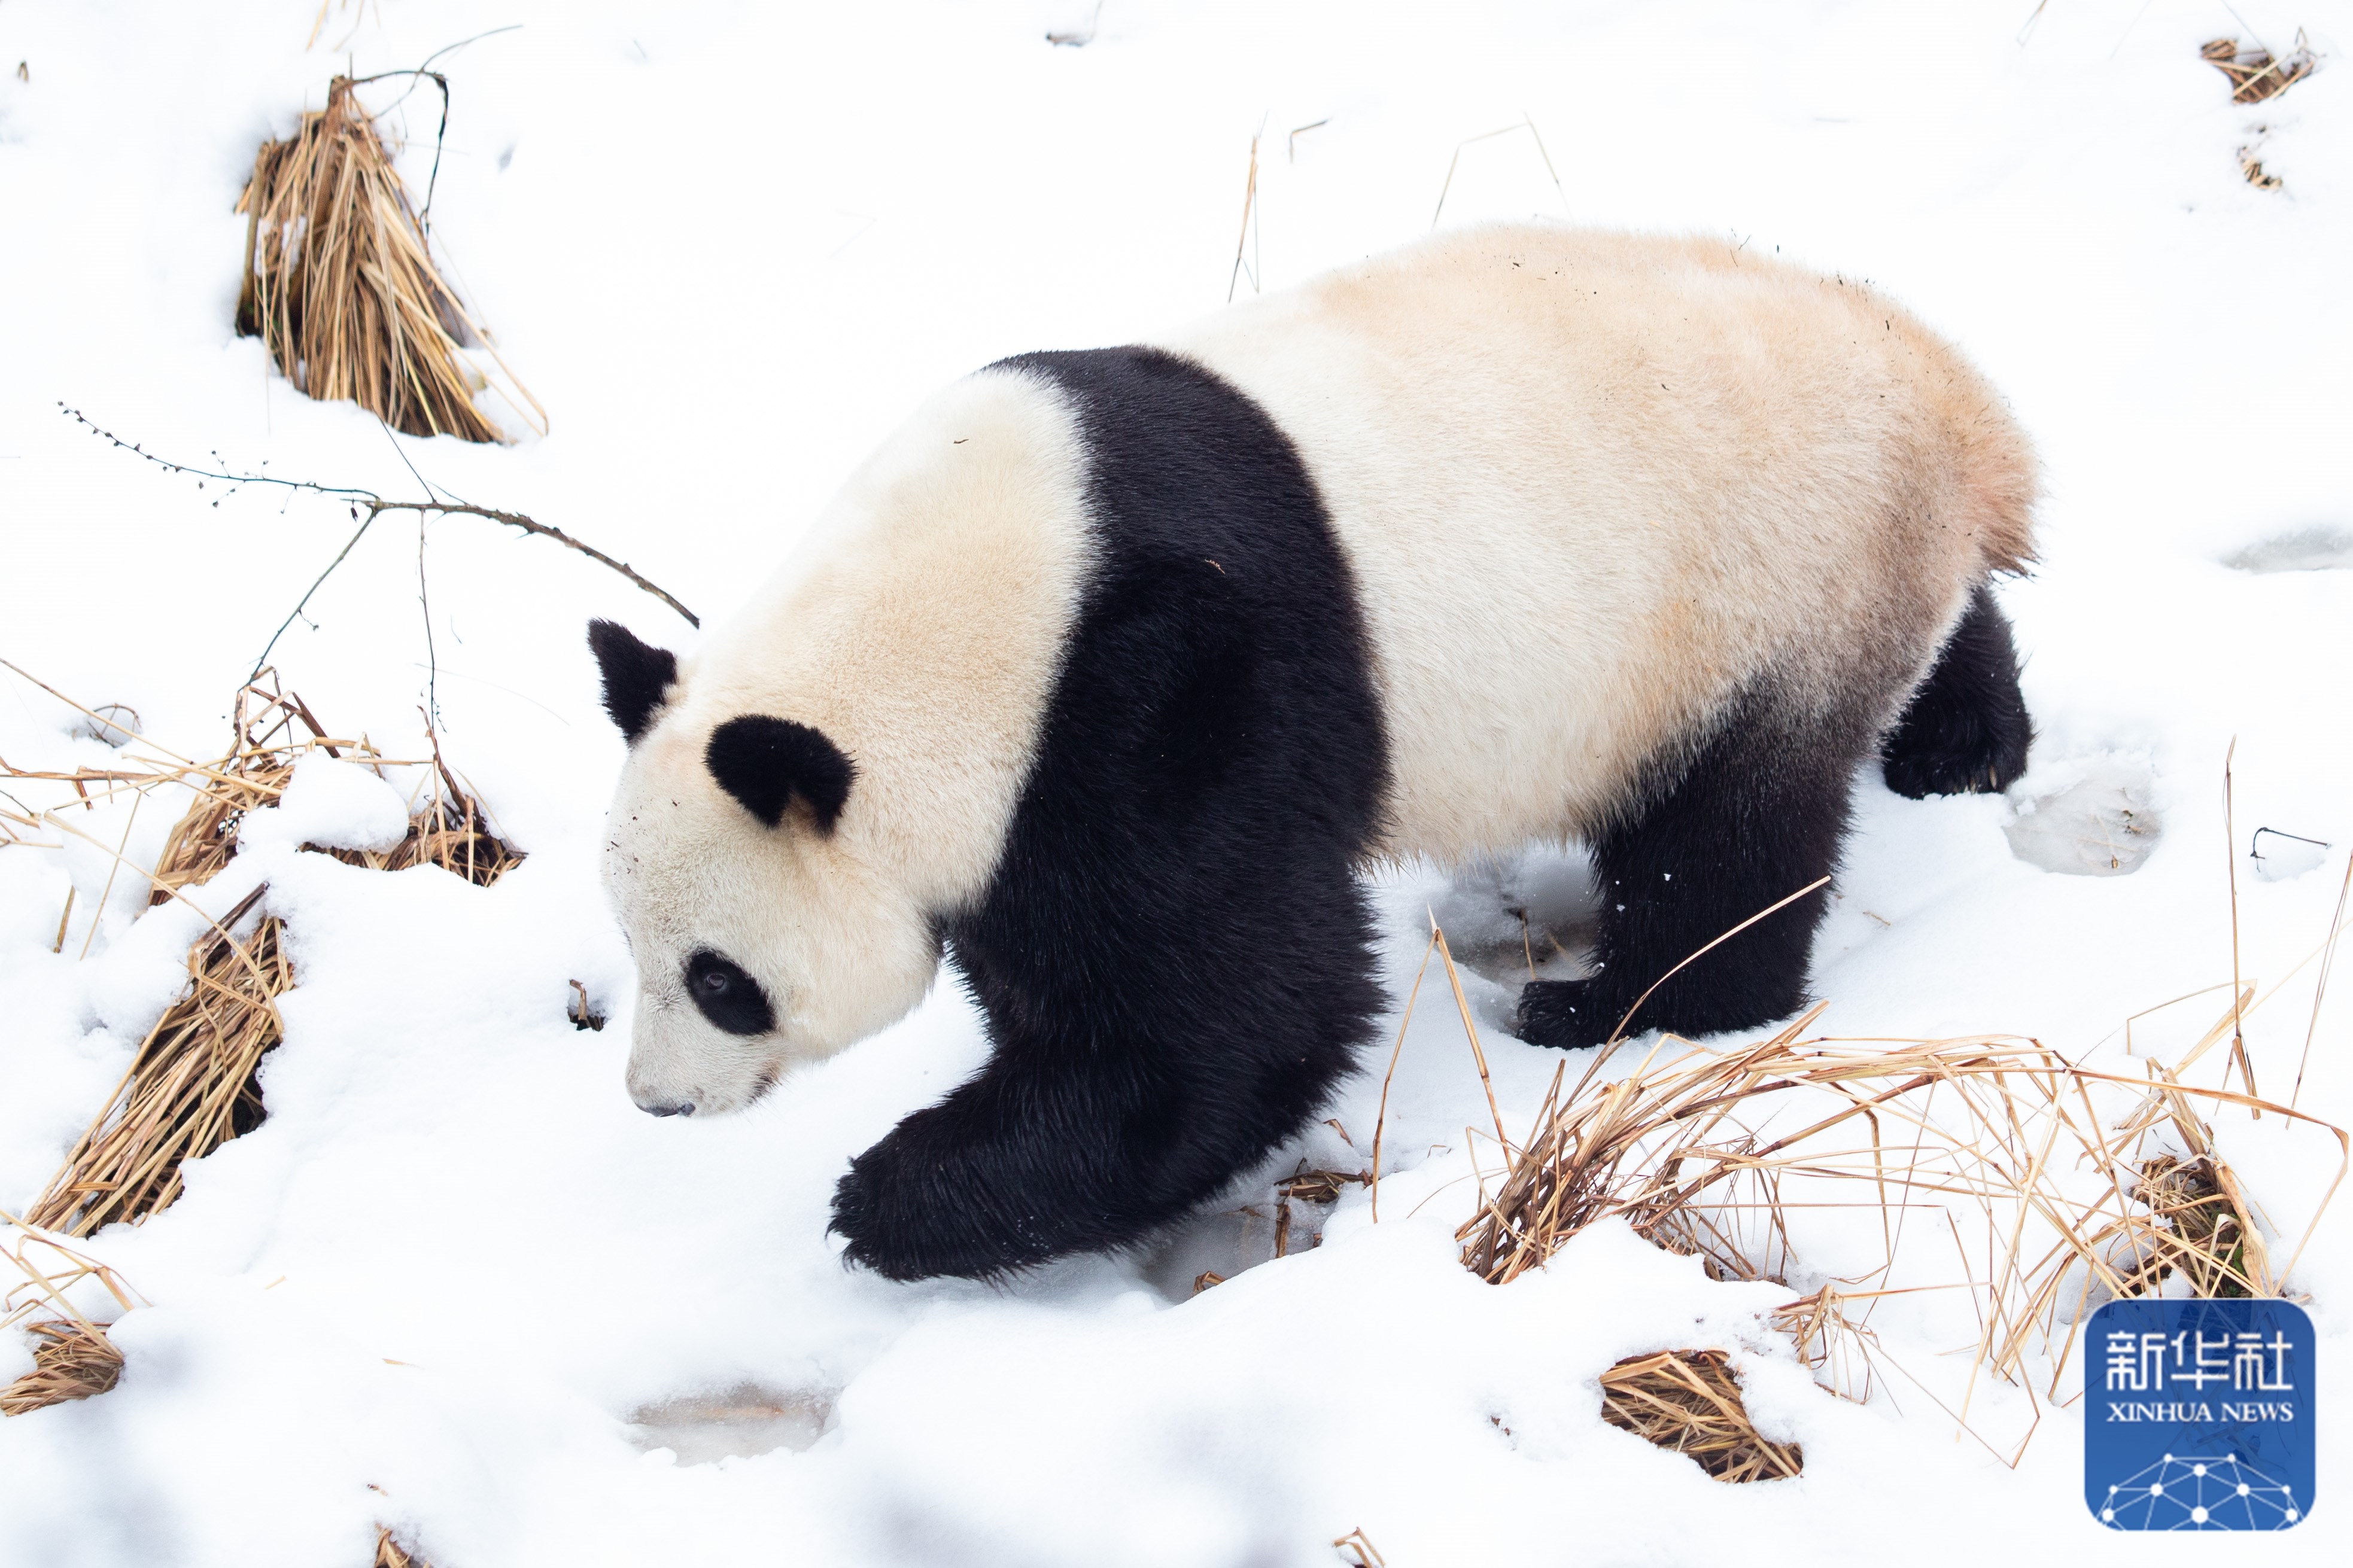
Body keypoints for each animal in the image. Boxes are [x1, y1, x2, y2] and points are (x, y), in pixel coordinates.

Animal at [592, 223, 2042, 1278]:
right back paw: (1967, 742)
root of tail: (1952, 404)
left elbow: (1236, 1015)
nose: (655, 1103)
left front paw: (890, 1195)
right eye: (635, 948)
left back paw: (1615, 1005)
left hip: (1761, 587)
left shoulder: (1156, 694)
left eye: (721, 980)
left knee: (1726, 840)